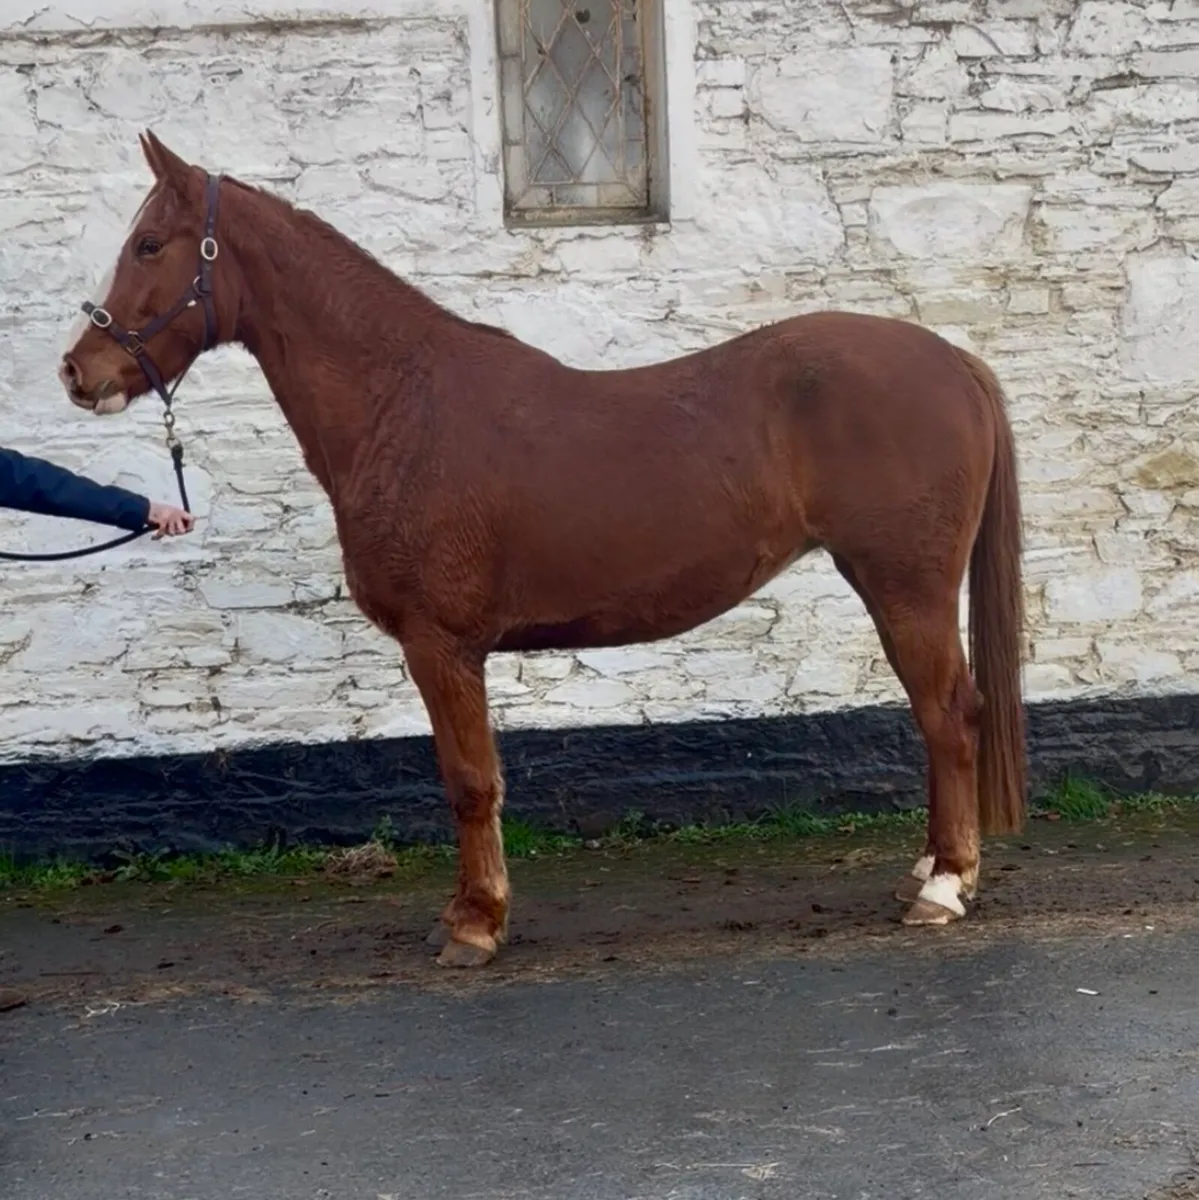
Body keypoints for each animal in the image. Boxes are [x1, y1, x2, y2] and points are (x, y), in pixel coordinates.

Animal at [60, 131, 1026, 968]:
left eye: (149, 244)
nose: (77, 371)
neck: (400, 404)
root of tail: (955, 361)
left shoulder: (441, 645)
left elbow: (469, 781)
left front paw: (474, 924)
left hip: (906, 587)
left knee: (949, 715)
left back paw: (942, 887)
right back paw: (931, 869)